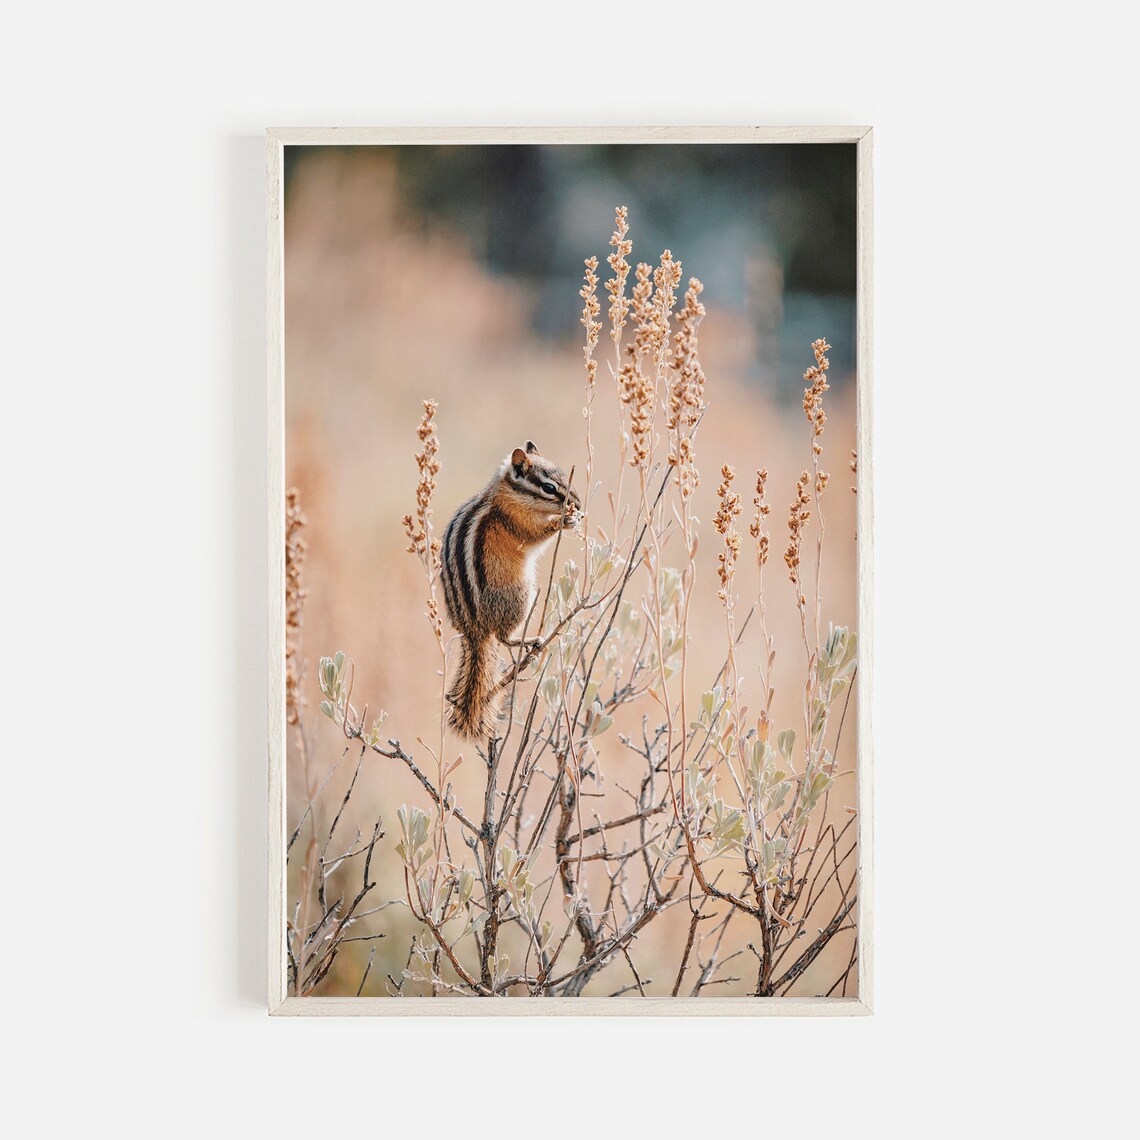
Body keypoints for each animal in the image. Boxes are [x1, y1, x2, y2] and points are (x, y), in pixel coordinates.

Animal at [440, 440, 580, 739]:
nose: (578, 503)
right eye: (548, 487)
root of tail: (473, 629)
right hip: (520, 595)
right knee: (503, 637)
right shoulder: (515, 523)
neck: (507, 494)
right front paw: (564, 521)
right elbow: (534, 536)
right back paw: (532, 640)